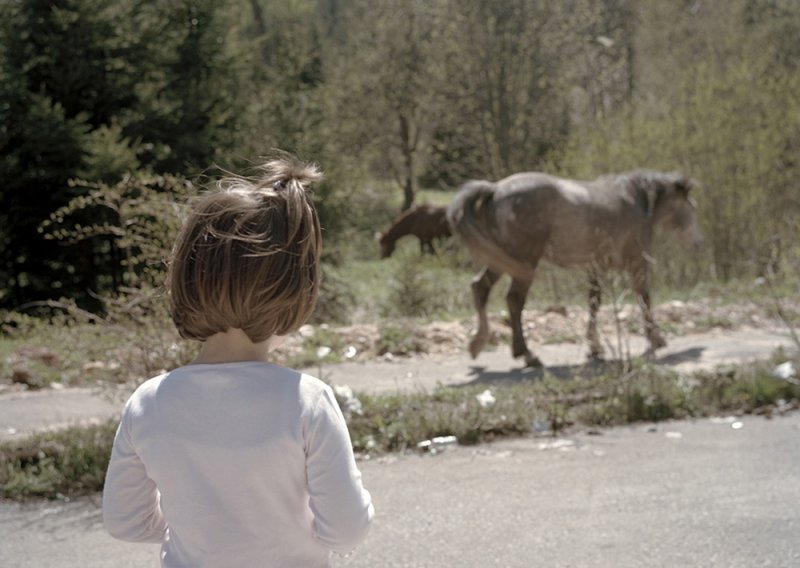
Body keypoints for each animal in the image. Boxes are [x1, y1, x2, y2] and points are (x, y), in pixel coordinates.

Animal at [446, 169, 704, 368]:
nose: (697, 243)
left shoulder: (595, 267)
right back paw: (528, 355)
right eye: (691, 207)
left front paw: (595, 348)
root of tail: (495, 188)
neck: (635, 202)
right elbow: (645, 300)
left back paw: (478, 344)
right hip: (524, 261)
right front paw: (655, 340)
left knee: (480, 288)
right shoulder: (637, 264)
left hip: (502, 260)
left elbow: (594, 302)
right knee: (514, 301)